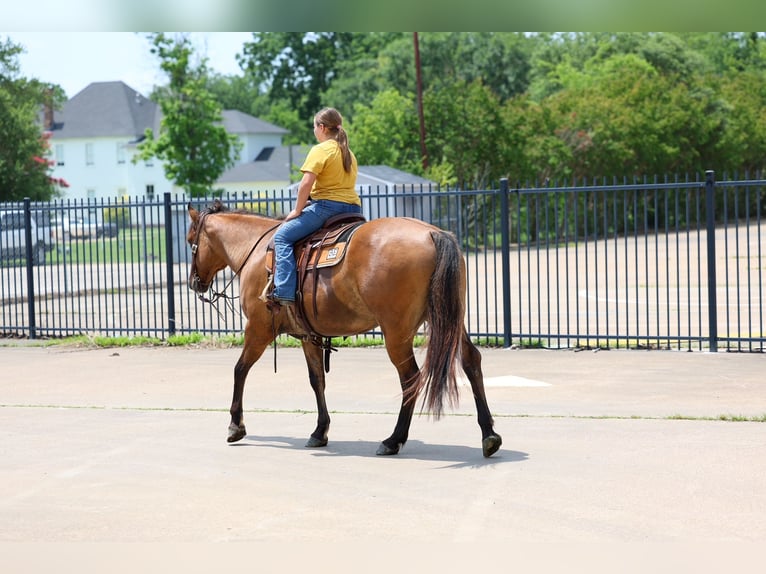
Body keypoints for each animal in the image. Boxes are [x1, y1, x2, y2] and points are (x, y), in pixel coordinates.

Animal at [186, 200, 502, 458]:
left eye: (190, 240)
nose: (193, 283)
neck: (256, 250)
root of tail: (432, 234)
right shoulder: (308, 335)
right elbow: (317, 380)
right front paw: (319, 431)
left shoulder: (258, 329)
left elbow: (240, 370)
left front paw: (235, 426)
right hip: (451, 321)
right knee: (471, 361)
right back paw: (489, 435)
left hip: (397, 334)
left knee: (411, 378)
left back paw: (393, 440)